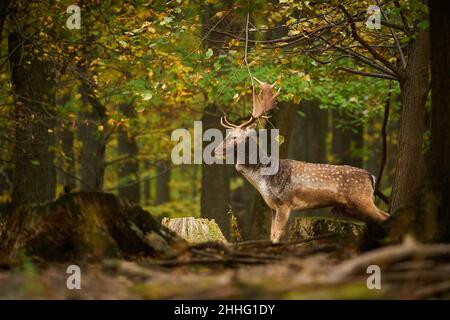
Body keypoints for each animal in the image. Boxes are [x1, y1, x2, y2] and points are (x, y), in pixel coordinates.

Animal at [214, 77, 386, 242]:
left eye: (235, 137)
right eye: (227, 135)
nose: (215, 150)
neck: (264, 180)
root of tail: (371, 176)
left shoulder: (285, 202)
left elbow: (276, 236)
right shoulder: (272, 207)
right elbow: (271, 234)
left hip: (362, 200)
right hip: (350, 207)